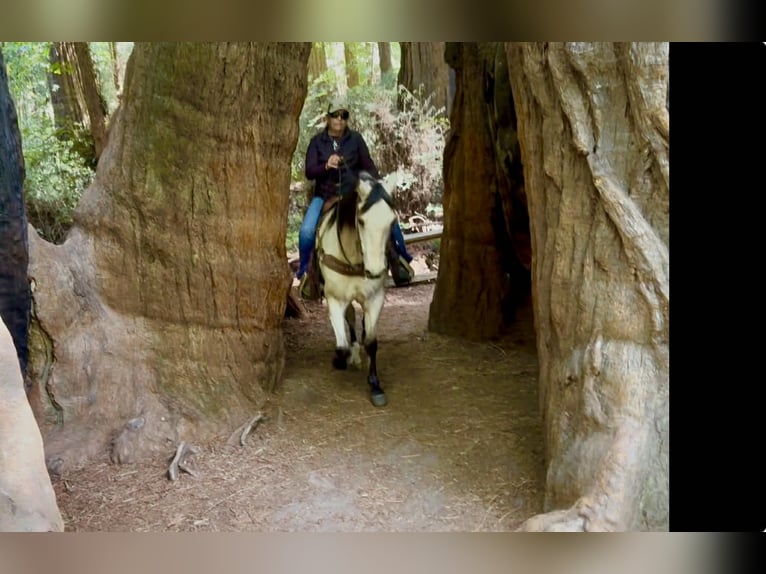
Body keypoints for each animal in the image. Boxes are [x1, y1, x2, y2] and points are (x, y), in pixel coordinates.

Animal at [315, 171, 398, 407]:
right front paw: (340, 359)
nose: (376, 270)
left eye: (392, 220)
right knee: (350, 318)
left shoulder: (375, 298)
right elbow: (341, 346)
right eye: (361, 220)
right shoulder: (334, 298)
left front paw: (375, 385)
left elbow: (371, 342)